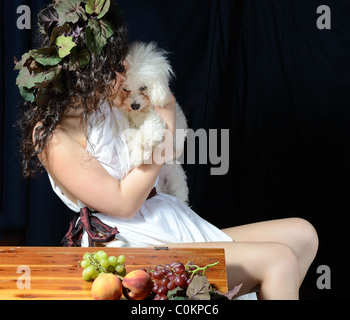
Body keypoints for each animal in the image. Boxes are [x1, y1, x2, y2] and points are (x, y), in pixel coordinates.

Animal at [114, 41, 189, 204]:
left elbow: (146, 134)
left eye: (143, 87)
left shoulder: (156, 119)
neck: (139, 113)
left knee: (180, 192)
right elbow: (133, 136)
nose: (135, 105)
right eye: (125, 89)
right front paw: (138, 154)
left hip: (175, 175)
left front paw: (138, 155)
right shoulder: (130, 123)